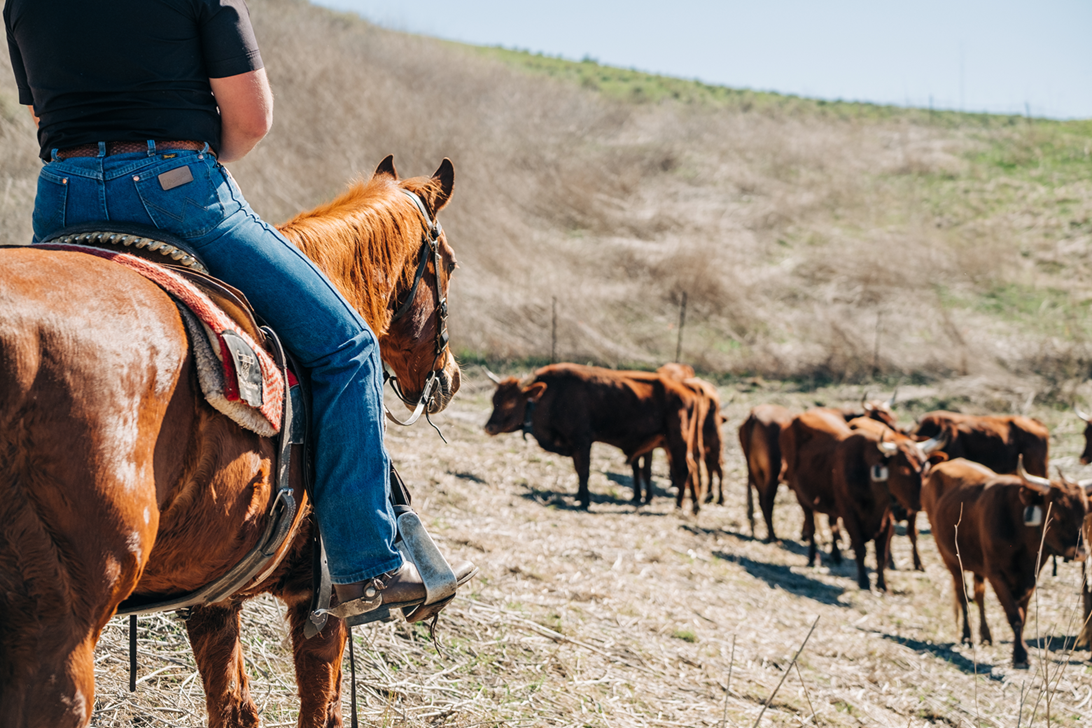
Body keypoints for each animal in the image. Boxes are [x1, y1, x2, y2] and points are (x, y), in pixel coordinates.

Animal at [0, 157, 460, 724]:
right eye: (450, 264)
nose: (450, 378)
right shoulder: (321, 604)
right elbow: (321, 710)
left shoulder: (212, 600)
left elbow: (233, 707)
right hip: (59, 641)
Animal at [482, 364, 703, 512]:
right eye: (494, 400)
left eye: (510, 402)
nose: (489, 427)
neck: (551, 395)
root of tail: (686, 391)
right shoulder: (574, 445)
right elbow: (578, 471)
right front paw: (579, 496)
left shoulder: (582, 442)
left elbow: (584, 471)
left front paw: (585, 501)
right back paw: (693, 505)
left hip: (678, 441)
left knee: (686, 469)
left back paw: (680, 504)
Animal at [733, 403, 794, 541]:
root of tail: (754, 415)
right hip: (772, 473)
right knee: (767, 500)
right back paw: (773, 537)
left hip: (756, 471)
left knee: (761, 499)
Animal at [921, 458, 1092, 667]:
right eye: (1057, 514)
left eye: (1084, 514)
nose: (1081, 552)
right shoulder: (996, 575)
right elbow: (1014, 615)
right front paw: (1020, 654)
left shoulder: (1030, 579)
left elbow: (1022, 615)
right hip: (950, 558)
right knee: (962, 594)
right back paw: (967, 636)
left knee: (978, 595)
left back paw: (985, 635)